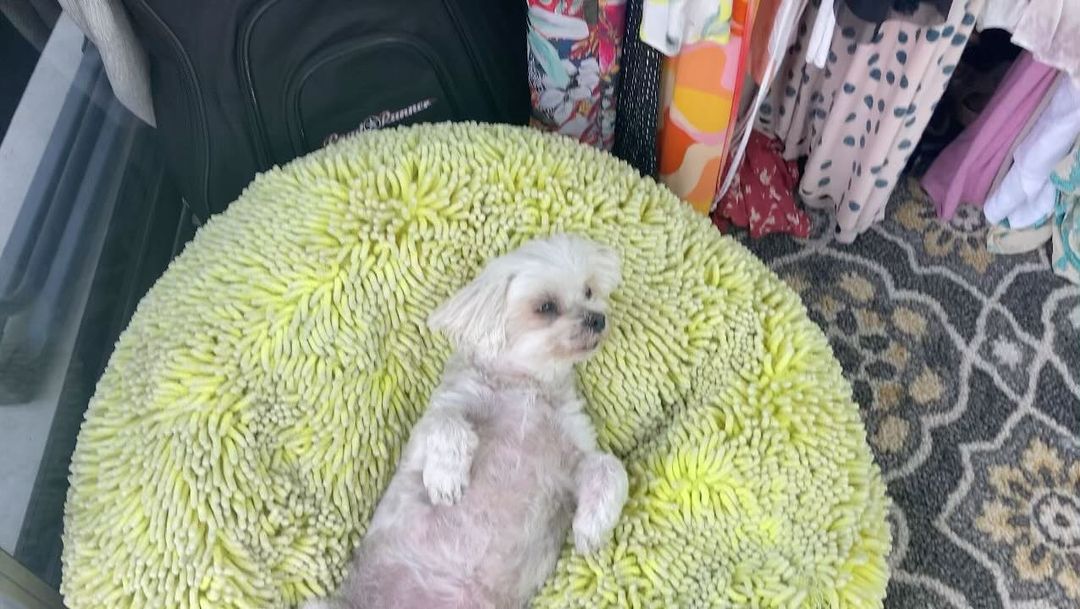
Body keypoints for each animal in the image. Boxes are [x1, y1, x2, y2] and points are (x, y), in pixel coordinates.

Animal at [303, 234, 629, 609]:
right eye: (546, 307)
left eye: (589, 290)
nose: (597, 319)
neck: (526, 386)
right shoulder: (429, 427)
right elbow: (447, 422)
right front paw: (447, 479)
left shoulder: (572, 460)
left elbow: (610, 467)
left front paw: (591, 528)